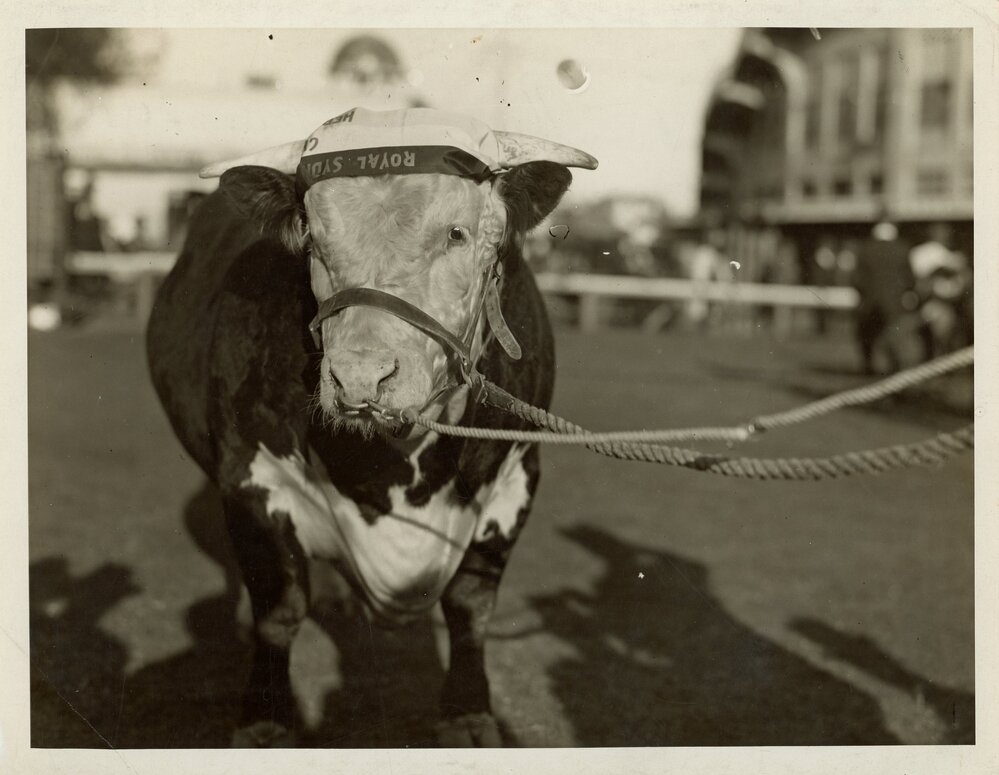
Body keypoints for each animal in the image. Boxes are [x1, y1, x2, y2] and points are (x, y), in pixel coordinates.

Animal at [146, 107, 597, 747]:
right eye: (313, 239)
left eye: (456, 234)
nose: (360, 376)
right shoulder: (250, 477)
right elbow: (278, 610)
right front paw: (264, 722)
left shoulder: (516, 476)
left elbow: (470, 605)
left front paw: (467, 715)